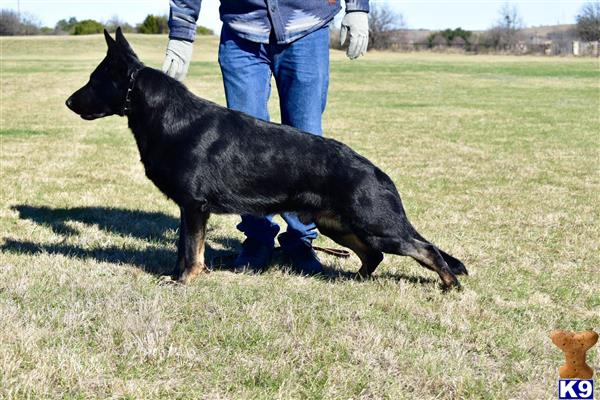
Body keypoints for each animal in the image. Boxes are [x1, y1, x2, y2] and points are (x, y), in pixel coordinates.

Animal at [67, 29, 468, 290]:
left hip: (374, 225)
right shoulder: (189, 210)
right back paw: (355, 280)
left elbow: (191, 250)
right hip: (337, 225)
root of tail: (377, 173)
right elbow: (185, 248)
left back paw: (449, 284)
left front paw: (184, 281)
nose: (69, 102)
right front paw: (185, 275)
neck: (166, 116)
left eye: (94, 81)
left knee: (425, 249)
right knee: (374, 256)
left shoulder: (194, 207)